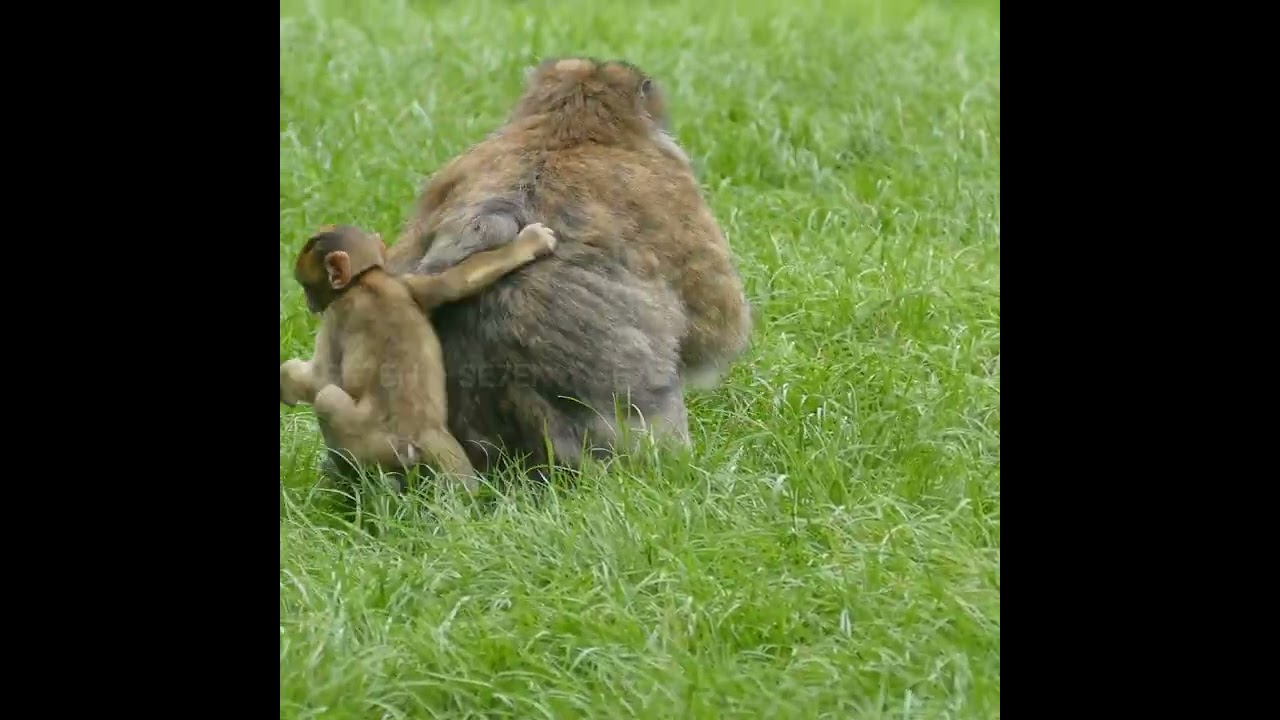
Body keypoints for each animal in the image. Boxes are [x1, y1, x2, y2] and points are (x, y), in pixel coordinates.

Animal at [280, 222, 559, 492]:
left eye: (307, 287)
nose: (310, 305)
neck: (365, 280)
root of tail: (420, 434)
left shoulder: (335, 316)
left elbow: (321, 378)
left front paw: (287, 381)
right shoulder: (408, 284)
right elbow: (454, 282)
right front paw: (529, 243)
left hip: (374, 444)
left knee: (326, 398)